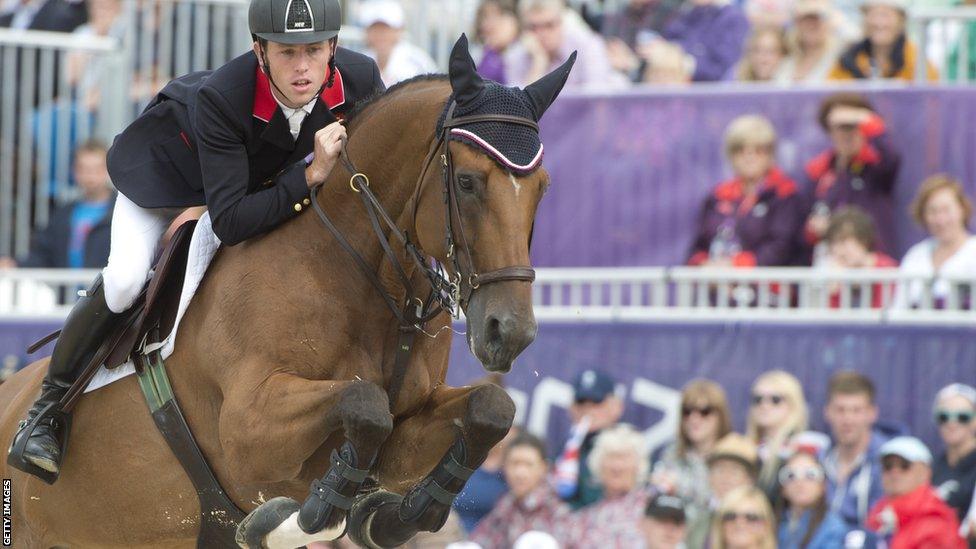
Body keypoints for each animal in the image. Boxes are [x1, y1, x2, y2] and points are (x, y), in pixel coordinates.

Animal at [0, 36, 572, 544]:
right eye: (468, 182)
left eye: (543, 189)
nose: (509, 333)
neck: (361, 278)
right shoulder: (247, 429)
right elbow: (365, 403)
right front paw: (297, 518)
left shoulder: (410, 426)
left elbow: (490, 408)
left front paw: (389, 518)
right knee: (118, 289)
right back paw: (39, 438)